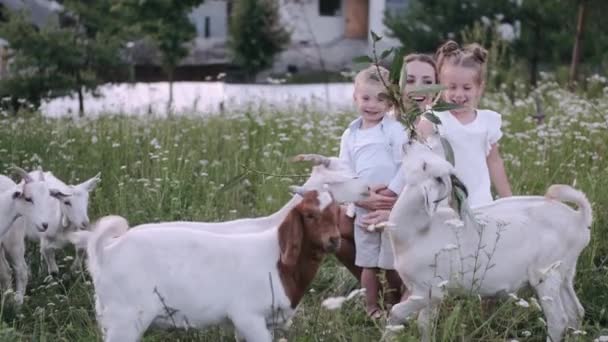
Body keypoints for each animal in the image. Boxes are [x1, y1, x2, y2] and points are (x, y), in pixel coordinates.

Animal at [83, 190, 344, 342]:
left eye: (338, 212)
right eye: (309, 214)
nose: (334, 239)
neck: (279, 262)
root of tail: (106, 251)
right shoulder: (248, 316)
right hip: (125, 319)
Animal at [378, 141, 592, 342]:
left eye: (424, 166)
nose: (410, 142)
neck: (417, 231)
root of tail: (579, 220)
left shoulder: (429, 290)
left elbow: (396, 312)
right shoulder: (428, 295)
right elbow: (424, 324)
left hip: (546, 274)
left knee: (559, 319)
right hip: (565, 272)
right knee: (576, 312)